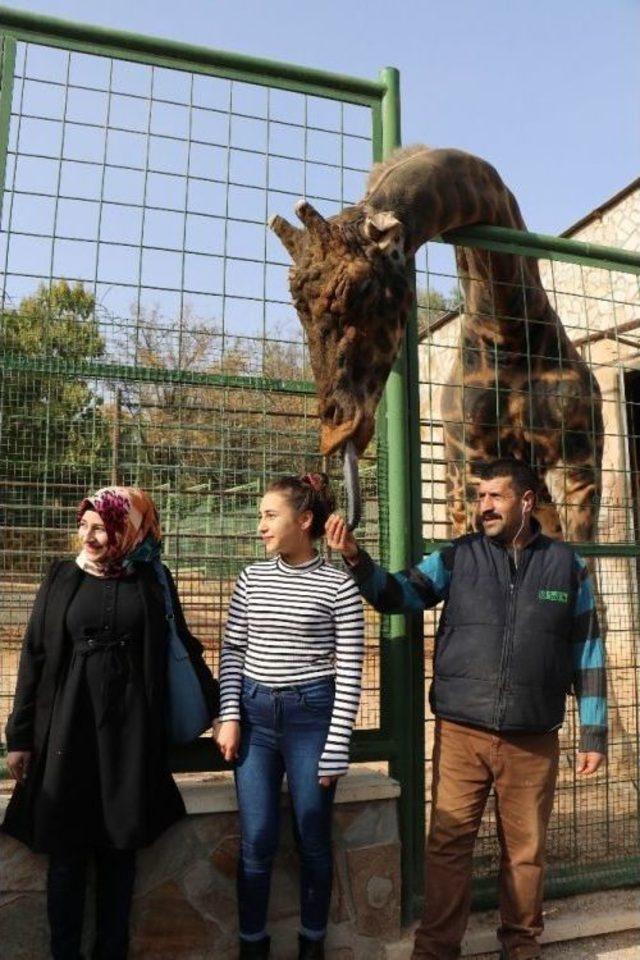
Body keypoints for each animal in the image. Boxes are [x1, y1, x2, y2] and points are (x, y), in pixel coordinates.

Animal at [268, 146, 604, 544]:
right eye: (298, 308)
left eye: (361, 288)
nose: (336, 433)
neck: (510, 335)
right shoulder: (473, 457)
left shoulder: (579, 464)